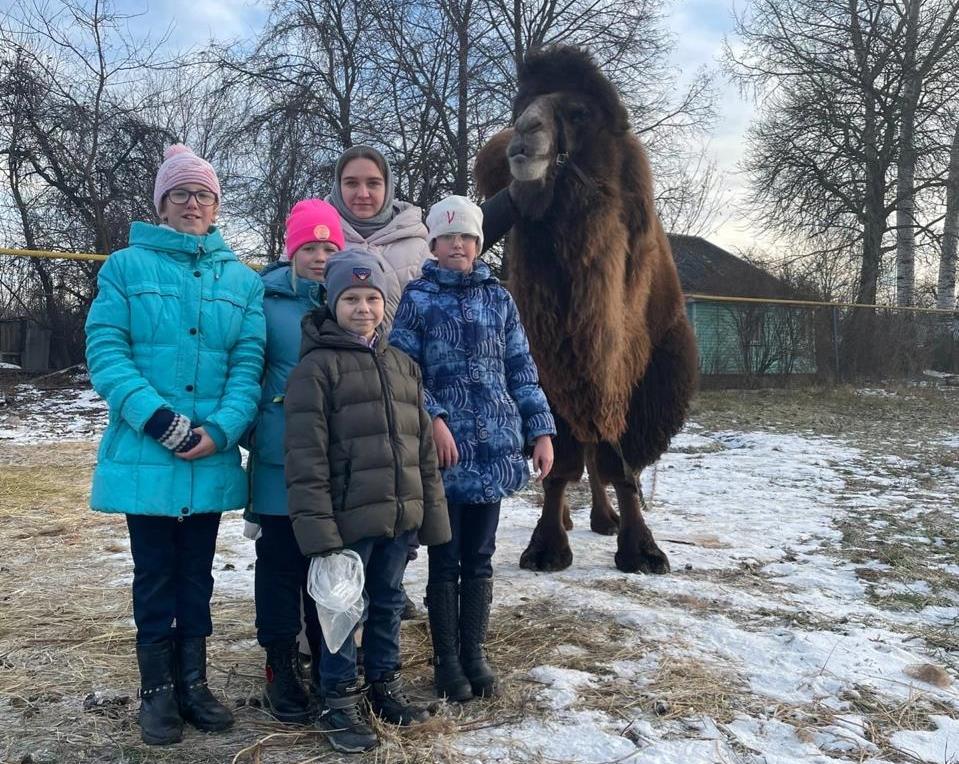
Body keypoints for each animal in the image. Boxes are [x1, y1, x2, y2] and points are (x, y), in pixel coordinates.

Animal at [478, 44, 696, 572]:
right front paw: (546, 547)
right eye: (519, 108)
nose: (524, 135)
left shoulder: (633, 376)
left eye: (579, 112)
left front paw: (642, 550)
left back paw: (604, 518)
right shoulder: (547, 367)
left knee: (599, 451)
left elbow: (620, 464)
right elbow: (559, 461)